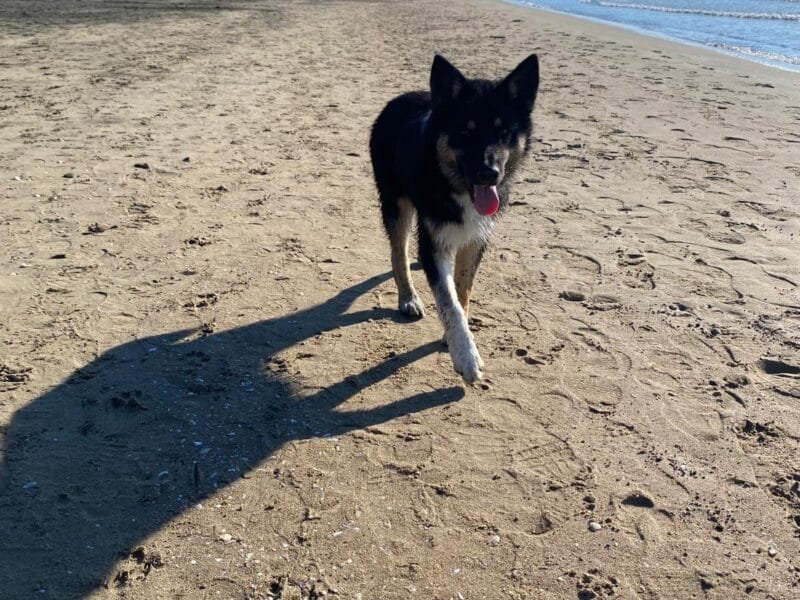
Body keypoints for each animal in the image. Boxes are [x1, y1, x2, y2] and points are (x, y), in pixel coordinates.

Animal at [372, 55, 540, 384]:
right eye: (466, 132)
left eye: (504, 133)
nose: (489, 174)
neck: (453, 184)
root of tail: (400, 98)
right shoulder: (434, 242)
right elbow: (448, 302)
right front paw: (465, 355)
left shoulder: (476, 237)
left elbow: (462, 289)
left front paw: (453, 338)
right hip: (396, 202)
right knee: (398, 252)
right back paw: (408, 297)